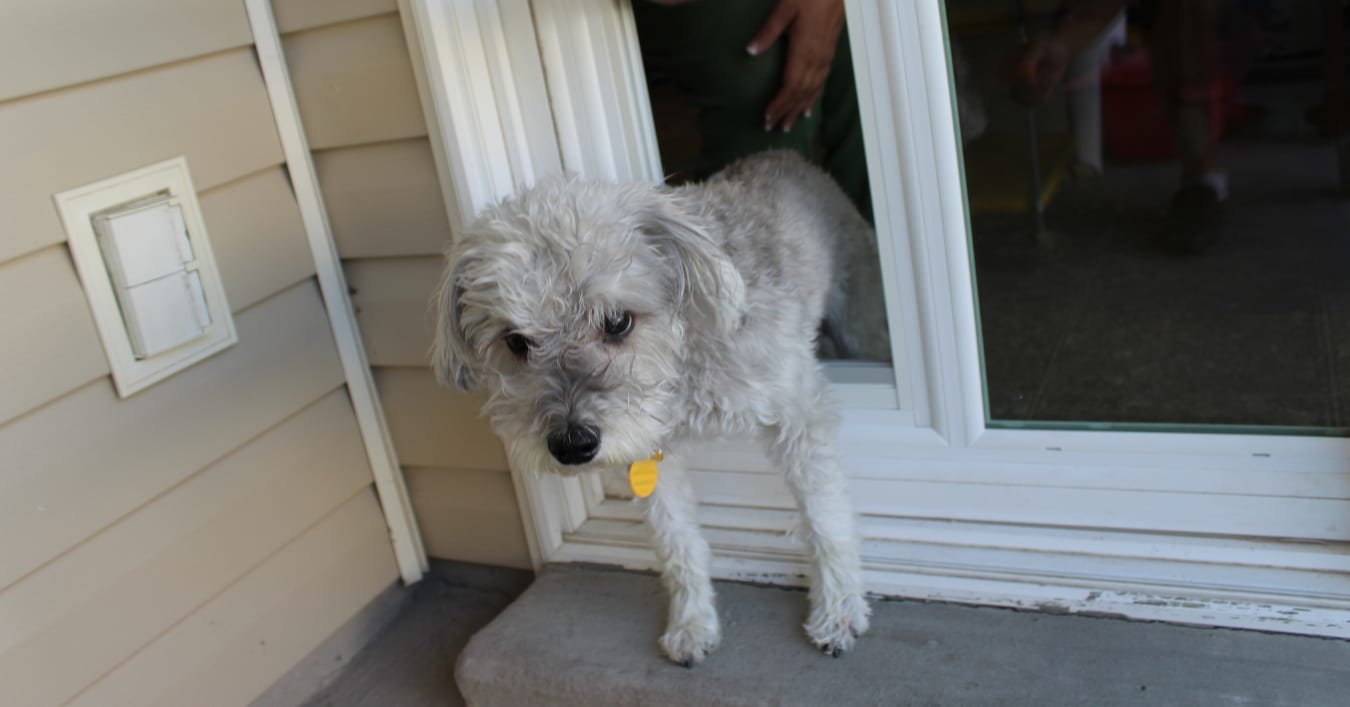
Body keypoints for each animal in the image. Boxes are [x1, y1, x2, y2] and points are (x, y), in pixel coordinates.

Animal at [432, 151, 885, 666]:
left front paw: (839, 608)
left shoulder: (799, 416)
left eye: (618, 322)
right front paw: (692, 623)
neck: (681, 370)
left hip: (862, 323)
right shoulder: (647, 454)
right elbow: (676, 543)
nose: (571, 446)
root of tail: (785, 156)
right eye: (515, 342)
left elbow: (825, 518)